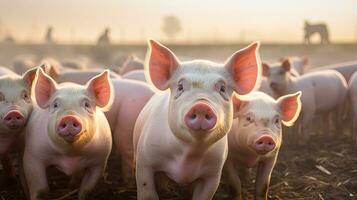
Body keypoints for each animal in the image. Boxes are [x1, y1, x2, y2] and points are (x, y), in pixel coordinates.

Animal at [22, 68, 113, 198]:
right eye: (55, 105)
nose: (69, 117)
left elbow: (87, 189)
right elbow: (41, 189)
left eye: (87, 104)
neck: (70, 154)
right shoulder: (33, 156)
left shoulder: (100, 161)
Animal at [134, 39, 262, 199]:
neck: (190, 153)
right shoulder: (144, 161)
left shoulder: (213, 174)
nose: (201, 106)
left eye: (222, 88)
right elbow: (147, 191)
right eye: (180, 87)